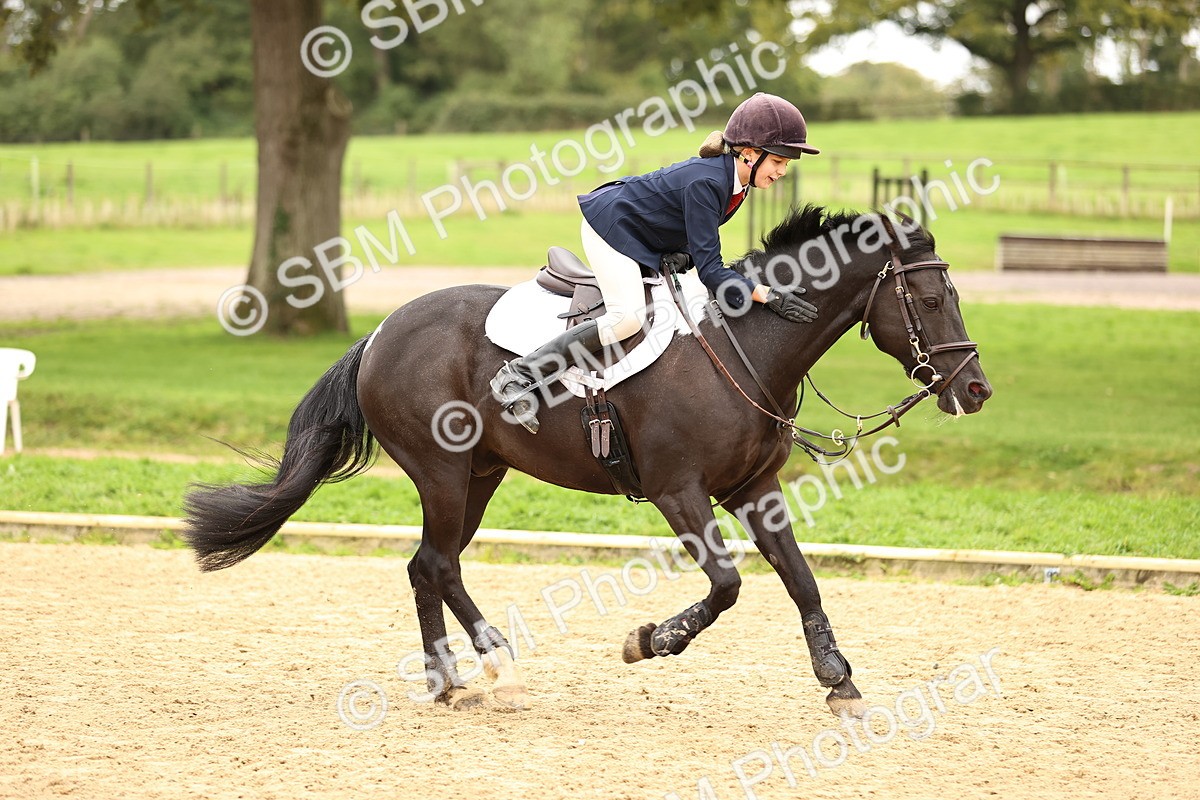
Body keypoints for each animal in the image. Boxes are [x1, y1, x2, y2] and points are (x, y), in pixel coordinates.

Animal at [182, 204, 992, 717]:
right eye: (929, 296)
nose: (976, 388)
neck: (748, 344)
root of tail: (380, 332)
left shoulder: (753, 489)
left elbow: (800, 580)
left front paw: (838, 680)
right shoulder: (678, 490)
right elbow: (728, 585)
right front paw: (650, 641)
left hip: (481, 474)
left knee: (425, 566)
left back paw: (449, 681)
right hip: (443, 472)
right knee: (439, 563)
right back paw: (499, 667)